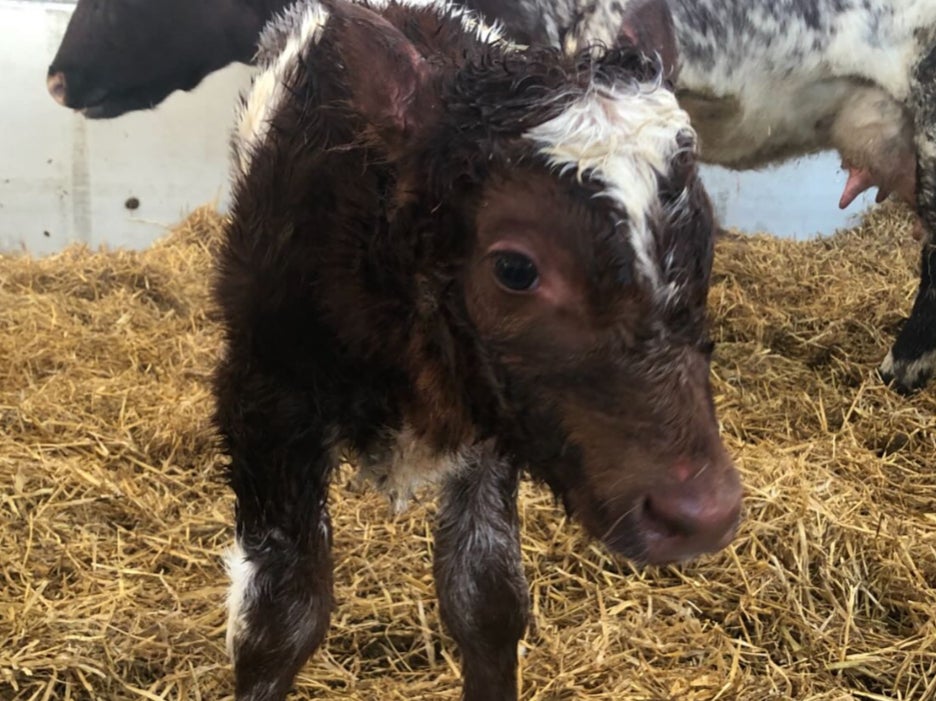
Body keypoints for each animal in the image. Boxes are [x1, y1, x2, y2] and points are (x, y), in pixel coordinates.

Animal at [214, 0, 741, 698]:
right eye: (515, 268)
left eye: (707, 237)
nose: (703, 514)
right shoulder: (265, 401)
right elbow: (280, 620)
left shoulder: (492, 419)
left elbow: (485, 597)